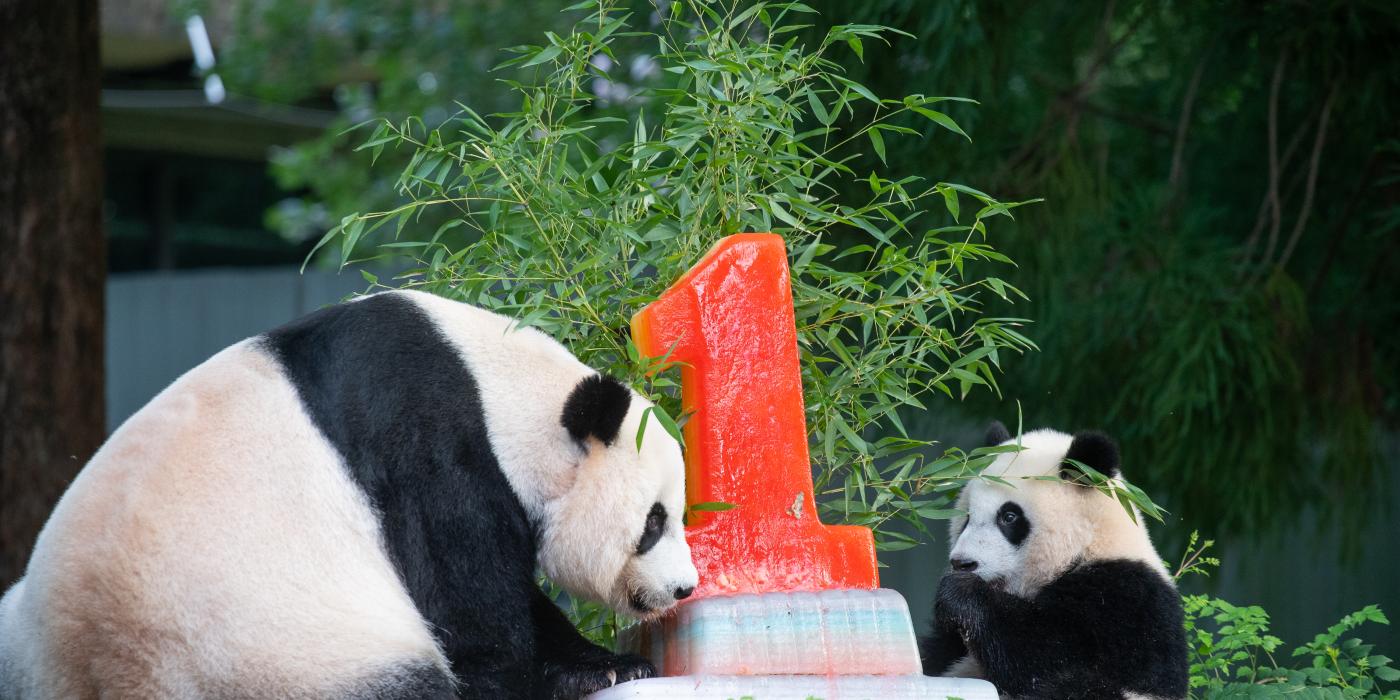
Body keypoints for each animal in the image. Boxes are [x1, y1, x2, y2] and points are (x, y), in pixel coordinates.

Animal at [0, 289, 697, 700]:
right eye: (653, 522)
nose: (684, 588)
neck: (500, 396)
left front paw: (611, 665)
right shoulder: (430, 459)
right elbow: (470, 617)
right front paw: (570, 676)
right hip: (264, 653)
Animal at [924, 420, 1187, 700]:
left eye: (1009, 517)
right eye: (967, 517)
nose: (962, 563)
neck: (1088, 544)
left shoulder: (1123, 600)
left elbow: (1041, 653)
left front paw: (959, 592)